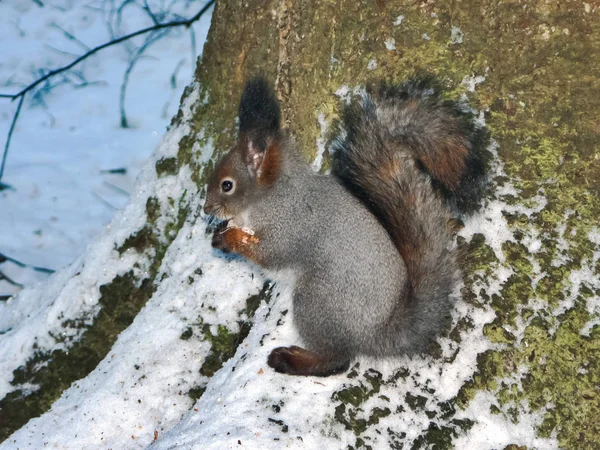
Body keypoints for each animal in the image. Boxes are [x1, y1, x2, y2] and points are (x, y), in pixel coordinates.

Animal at [202, 76, 488, 376]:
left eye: (226, 185)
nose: (206, 209)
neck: (267, 196)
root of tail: (376, 332)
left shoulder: (290, 223)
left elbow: (270, 253)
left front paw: (230, 239)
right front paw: (219, 233)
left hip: (316, 301)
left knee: (337, 360)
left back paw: (292, 360)